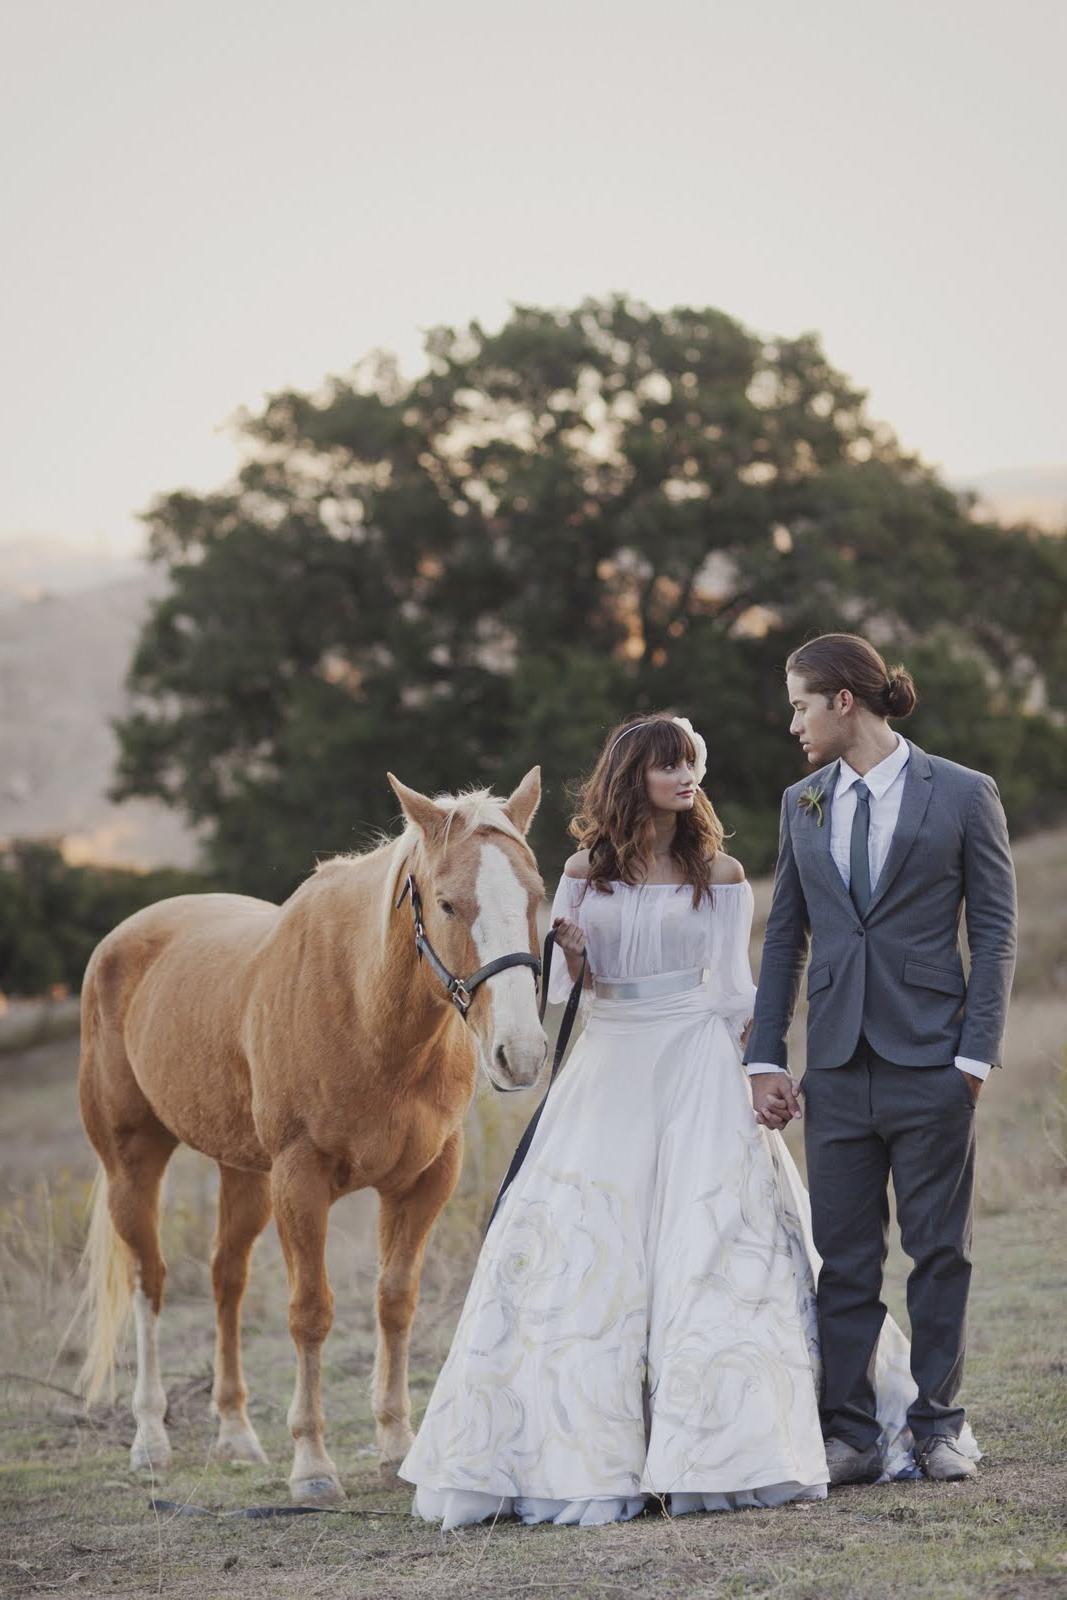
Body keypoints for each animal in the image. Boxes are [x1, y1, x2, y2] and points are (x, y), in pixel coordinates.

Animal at [78, 768, 547, 1504]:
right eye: (447, 903)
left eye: (536, 893)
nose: (519, 1055)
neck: (365, 1010)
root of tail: (122, 941)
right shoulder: (300, 1180)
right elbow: (311, 1312)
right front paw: (313, 1464)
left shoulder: (423, 1181)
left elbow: (394, 1301)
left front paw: (395, 1446)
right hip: (134, 1162)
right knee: (149, 1283)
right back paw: (150, 1438)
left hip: (243, 1173)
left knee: (226, 1279)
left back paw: (236, 1435)